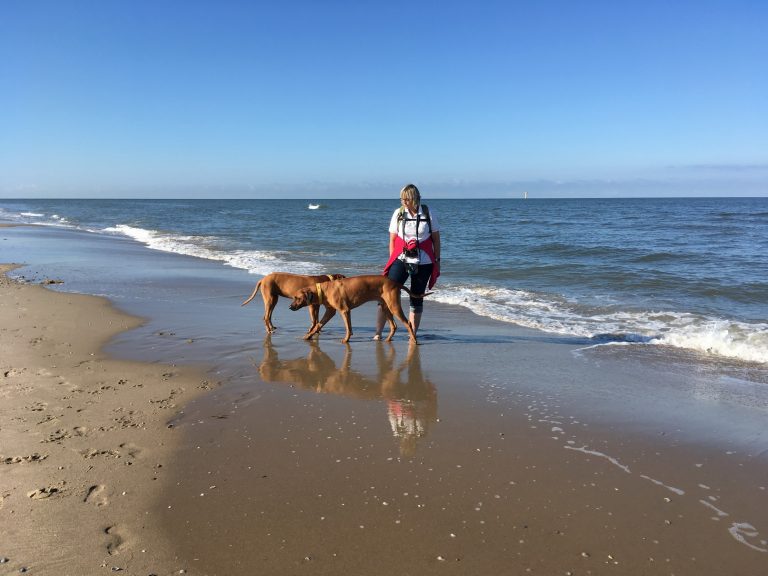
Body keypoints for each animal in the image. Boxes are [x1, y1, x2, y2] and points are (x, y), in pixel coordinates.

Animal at [290, 274, 428, 342]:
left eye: (297, 298)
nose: (290, 307)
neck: (324, 290)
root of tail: (395, 282)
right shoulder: (330, 311)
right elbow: (318, 325)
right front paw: (308, 336)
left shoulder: (344, 310)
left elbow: (348, 328)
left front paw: (346, 339)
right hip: (385, 307)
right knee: (394, 326)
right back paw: (388, 340)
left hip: (393, 306)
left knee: (408, 323)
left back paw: (414, 341)